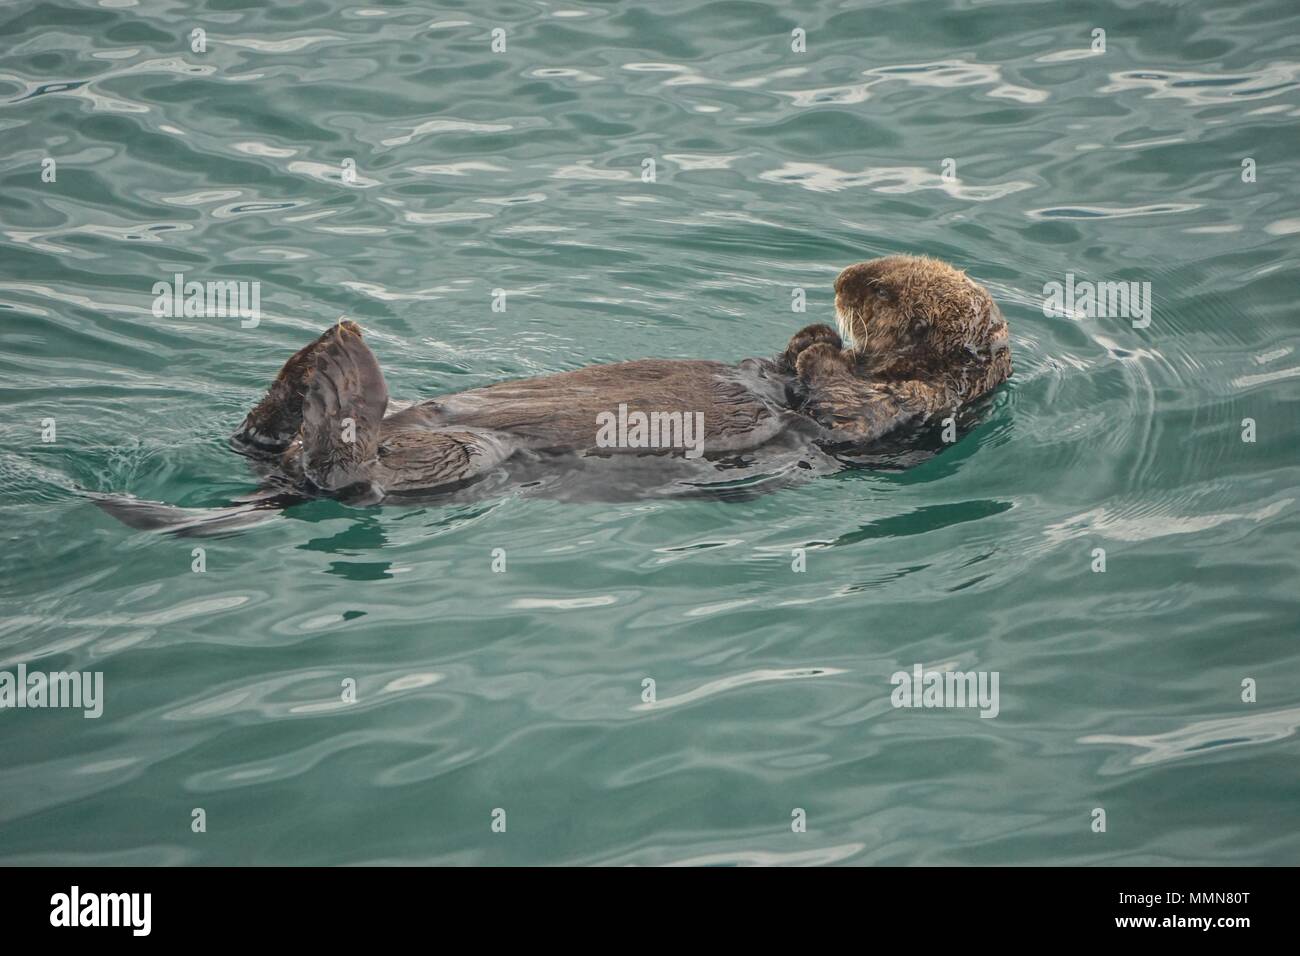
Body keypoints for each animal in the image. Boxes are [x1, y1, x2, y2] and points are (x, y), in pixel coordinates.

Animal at [101, 257, 1013, 530]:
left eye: (884, 292)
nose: (842, 280)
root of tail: (276, 485)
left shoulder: (897, 413)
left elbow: (834, 402)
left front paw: (818, 344)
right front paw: (802, 336)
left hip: (452, 462)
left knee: (347, 473)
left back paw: (336, 375)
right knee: (260, 441)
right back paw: (306, 370)